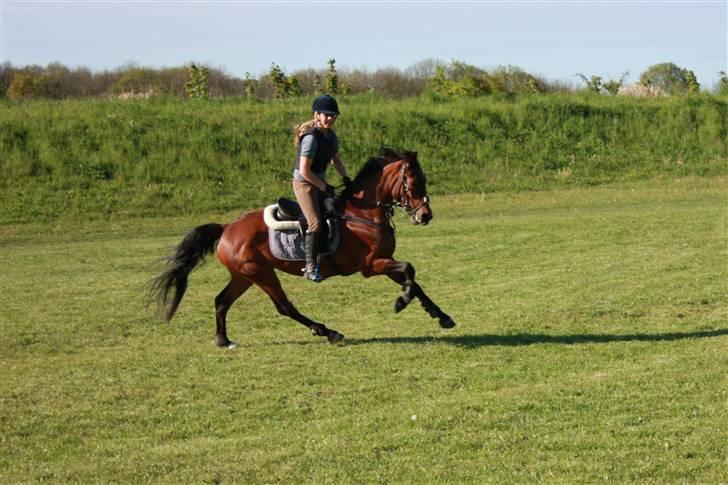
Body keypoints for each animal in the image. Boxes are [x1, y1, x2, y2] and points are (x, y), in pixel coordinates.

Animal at [150, 149, 456, 347]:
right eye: (414, 182)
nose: (425, 216)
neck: (364, 213)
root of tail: (226, 228)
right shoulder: (371, 265)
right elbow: (409, 270)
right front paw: (401, 302)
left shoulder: (385, 259)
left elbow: (414, 281)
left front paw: (441, 316)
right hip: (262, 274)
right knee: (284, 306)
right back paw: (328, 331)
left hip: (243, 276)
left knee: (222, 301)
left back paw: (223, 340)